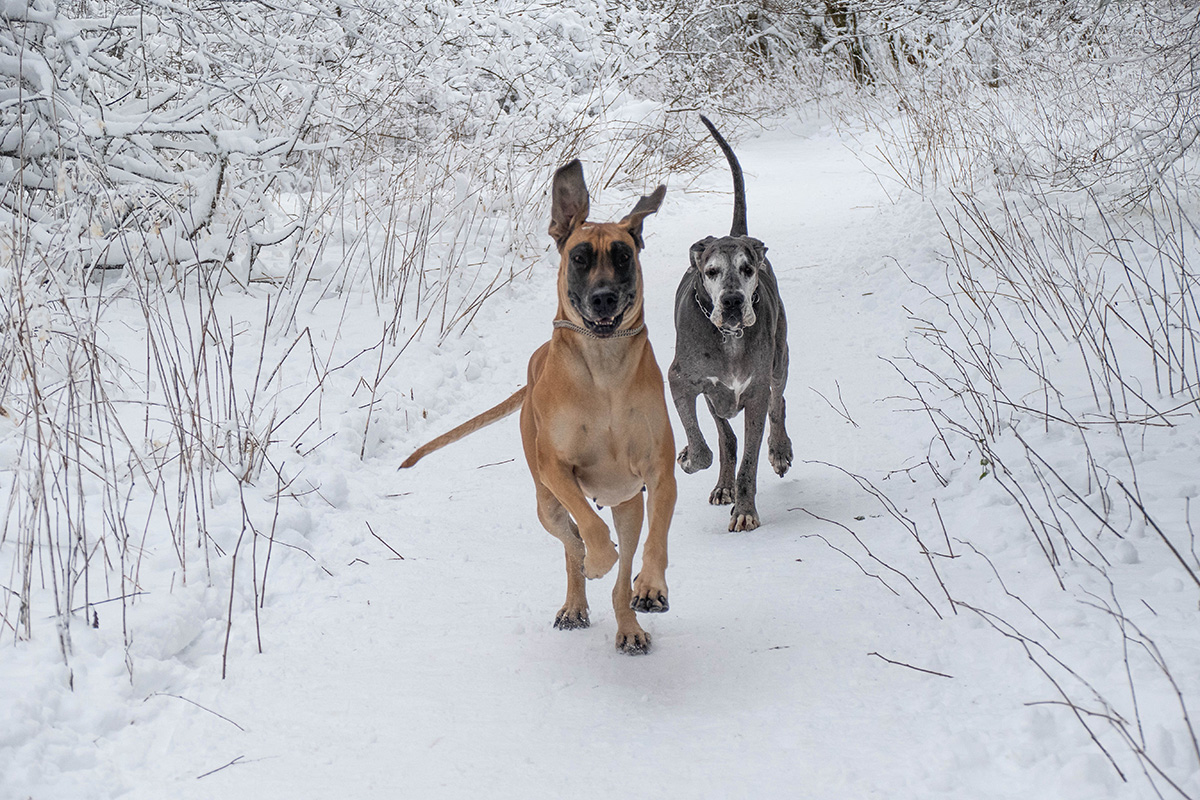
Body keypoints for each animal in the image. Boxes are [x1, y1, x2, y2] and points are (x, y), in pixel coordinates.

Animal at [672, 115, 792, 532]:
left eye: (747, 268)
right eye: (711, 271)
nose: (733, 301)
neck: (730, 336)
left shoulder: (754, 392)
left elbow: (750, 461)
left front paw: (745, 509)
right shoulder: (682, 382)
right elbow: (705, 448)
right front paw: (690, 458)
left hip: (780, 359)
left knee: (778, 401)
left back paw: (780, 451)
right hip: (714, 397)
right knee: (724, 436)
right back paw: (722, 483)